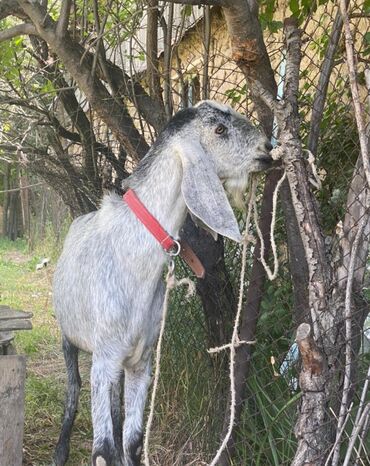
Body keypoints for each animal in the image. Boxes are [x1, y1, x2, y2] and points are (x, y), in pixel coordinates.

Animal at [52, 100, 272, 464]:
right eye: (219, 129)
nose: (267, 149)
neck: (133, 255)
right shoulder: (104, 358)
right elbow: (103, 450)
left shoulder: (141, 361)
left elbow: (133, 441)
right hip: (70, 337)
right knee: (73, 386)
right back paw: (60, 450)